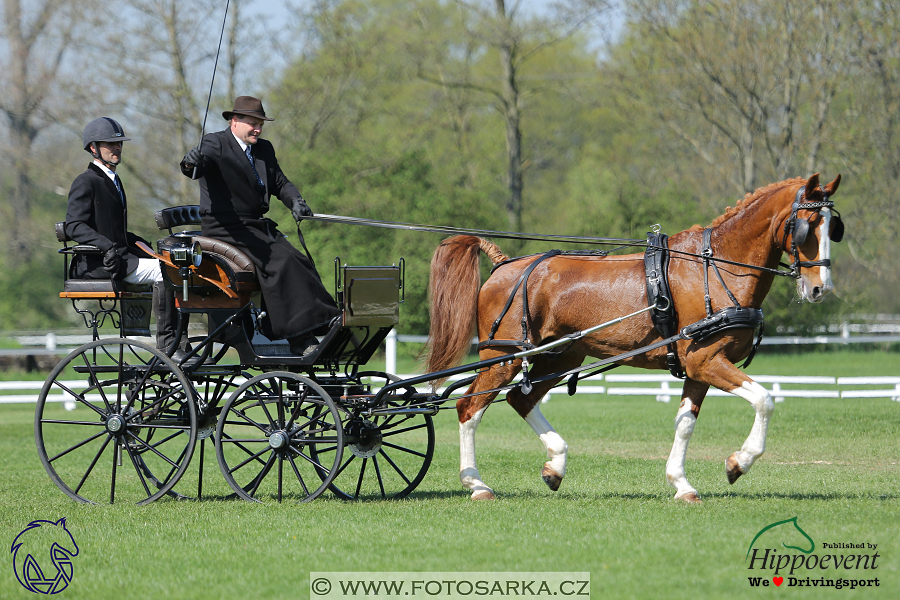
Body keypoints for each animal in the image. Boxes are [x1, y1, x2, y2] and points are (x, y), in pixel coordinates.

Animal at [426, 173, 840, 502]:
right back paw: (476, 484)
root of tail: (502, 265)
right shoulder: (706, 361)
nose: (820, 288)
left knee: (519, 399)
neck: (717, 267)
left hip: (560, 356)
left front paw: (681, 484)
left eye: (833, 227)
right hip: (505, 356)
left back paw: (555, 465)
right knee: (469, 408)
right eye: (806, 225)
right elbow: (765, 400)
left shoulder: (697, 368)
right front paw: (739, 462)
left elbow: (685, 423)